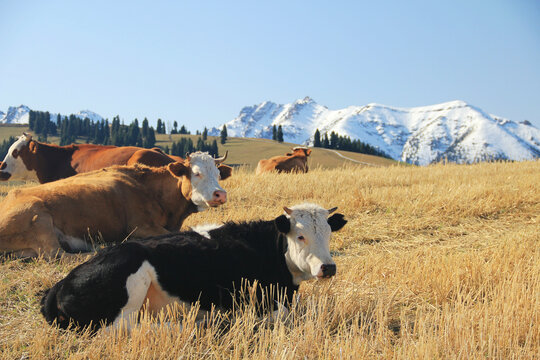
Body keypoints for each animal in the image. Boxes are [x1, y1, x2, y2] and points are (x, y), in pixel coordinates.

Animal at [0, 151, 230, 258]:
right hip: (39, 217)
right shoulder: (141, 227)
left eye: (219, 174)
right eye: (197, 173)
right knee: (58, 254)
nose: (220, 194)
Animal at [41, 202, 346, 332]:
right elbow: (279, 316)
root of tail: (60, 285)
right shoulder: (257, 301)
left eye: (329, 233)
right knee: (123, 328)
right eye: (300, 236)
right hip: (130, 281)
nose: (328, 267)